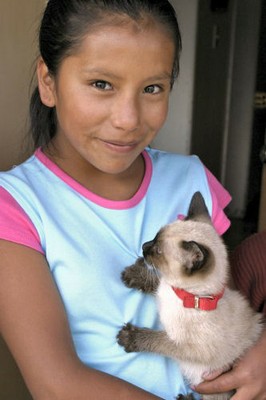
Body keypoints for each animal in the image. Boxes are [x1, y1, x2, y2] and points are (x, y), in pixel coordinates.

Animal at [117, 192, 264, 398]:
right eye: (154, 238)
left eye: (158, 250)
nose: (144, 246)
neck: (188, 296)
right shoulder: (167, 287)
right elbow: (160, 282)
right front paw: (133, 274)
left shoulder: (186, 346)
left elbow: (157, 340)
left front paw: (129, 337)